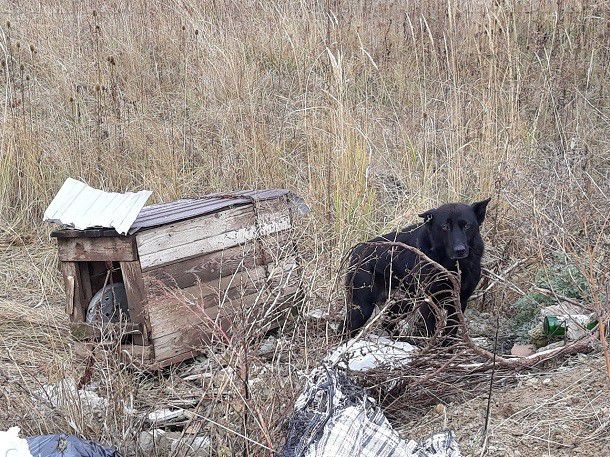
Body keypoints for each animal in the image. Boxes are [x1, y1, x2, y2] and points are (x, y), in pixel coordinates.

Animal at [342, 199, 490, 338]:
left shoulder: (459, 302)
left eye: (467, 225)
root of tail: (358, 250)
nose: (460, 250)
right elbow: (430, 331)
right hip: (362, 308)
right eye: (445, 226)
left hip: (405, 302)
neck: (451, 265)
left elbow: (450, 334)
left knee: (387, 322)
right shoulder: (428, 302)